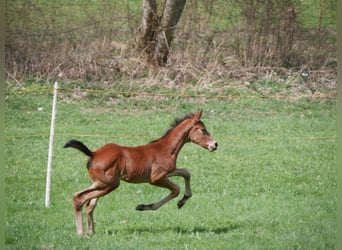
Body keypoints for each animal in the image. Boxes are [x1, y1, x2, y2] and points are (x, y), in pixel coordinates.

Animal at [64, 110, 218, 235]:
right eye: (203, 130)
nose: (215, 144)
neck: (166, 148)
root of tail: (93, 153)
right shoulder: (155, 179)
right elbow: (176, 189)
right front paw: (145, 206)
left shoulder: (167, 172)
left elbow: (186, 172)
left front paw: (183, 200)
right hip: (110, 184)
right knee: (80, 197)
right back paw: (81, 232)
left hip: (100, 183)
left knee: (89, 203)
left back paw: (91, 231)